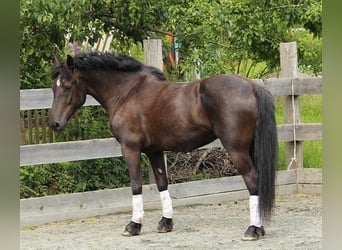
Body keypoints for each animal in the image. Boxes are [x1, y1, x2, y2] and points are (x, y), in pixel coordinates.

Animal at [48, 51, 278, 240]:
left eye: (67, 86)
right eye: (53, 87)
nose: (54, 123)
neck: (127, 92)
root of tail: (252, 87)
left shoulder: (130, 149)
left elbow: (136, 185)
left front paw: (134, 225)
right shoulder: (155, 151)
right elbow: (162, 183)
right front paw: (166, 222)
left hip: (237, 150)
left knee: (253, 181)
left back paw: (252, 230)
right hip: (249, 149)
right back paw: (259, 228)